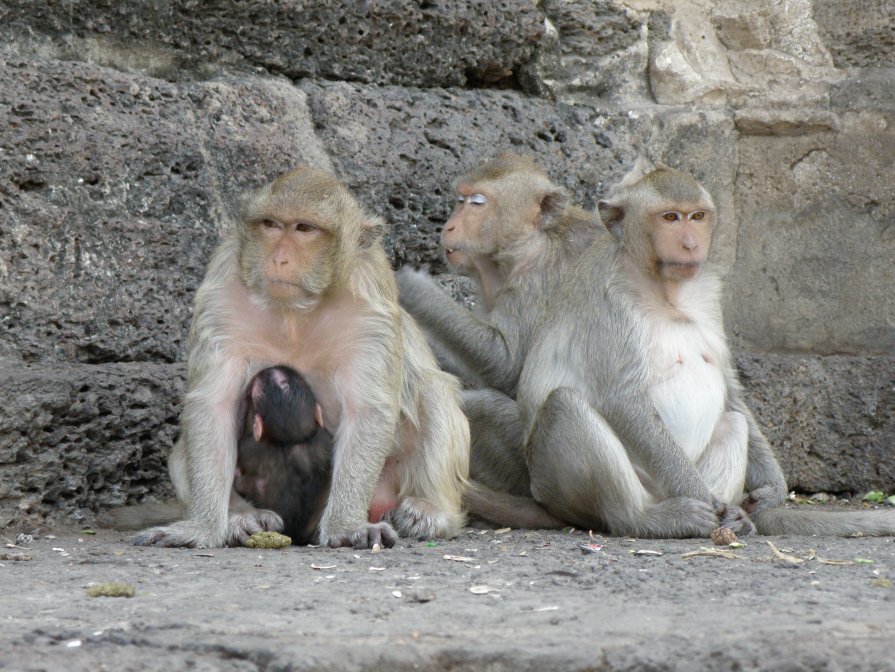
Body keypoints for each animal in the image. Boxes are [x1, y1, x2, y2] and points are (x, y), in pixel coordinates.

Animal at [496, 163, 895, 536]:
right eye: (670, 217)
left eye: (698, 217)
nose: (690, 244)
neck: (664, 289)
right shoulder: (609, 305)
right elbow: (623, 399)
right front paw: (710, 501)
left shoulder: (708, 296)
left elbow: (731, 393)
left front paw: (772, 490)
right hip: (562, 485)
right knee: (565, 406)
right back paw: (650, 518)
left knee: (734, 421)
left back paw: (731, 521)